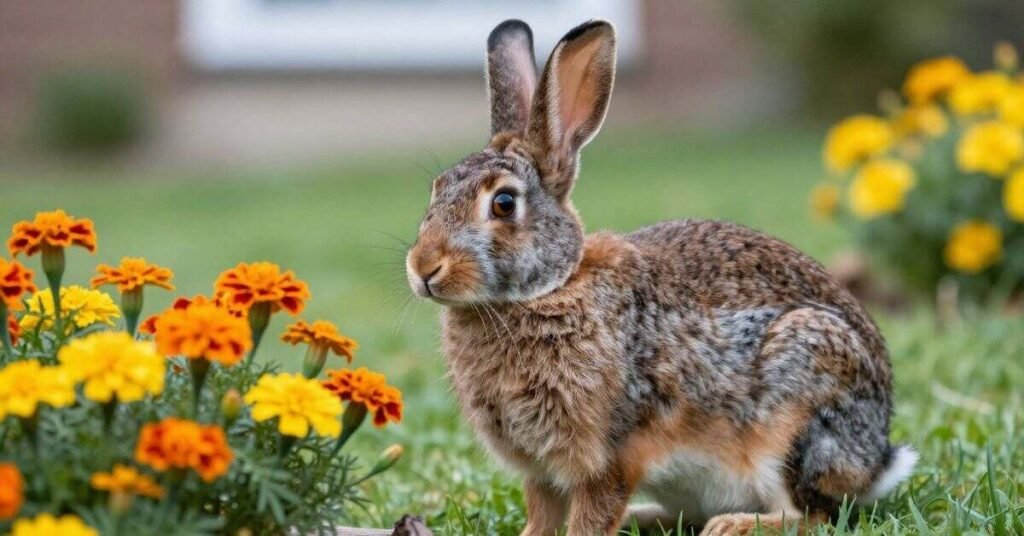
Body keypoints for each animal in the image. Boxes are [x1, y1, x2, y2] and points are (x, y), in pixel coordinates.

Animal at [405, 19, 917, 536]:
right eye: (436, 190)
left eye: (504, 204)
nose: (424, 268)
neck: (551, 287)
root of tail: (877, 460)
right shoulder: (541, 471)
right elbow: (542, 515)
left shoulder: (610, 455)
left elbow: (591, 513)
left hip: (798, 406)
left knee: (814, 515)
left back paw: (733, 525)